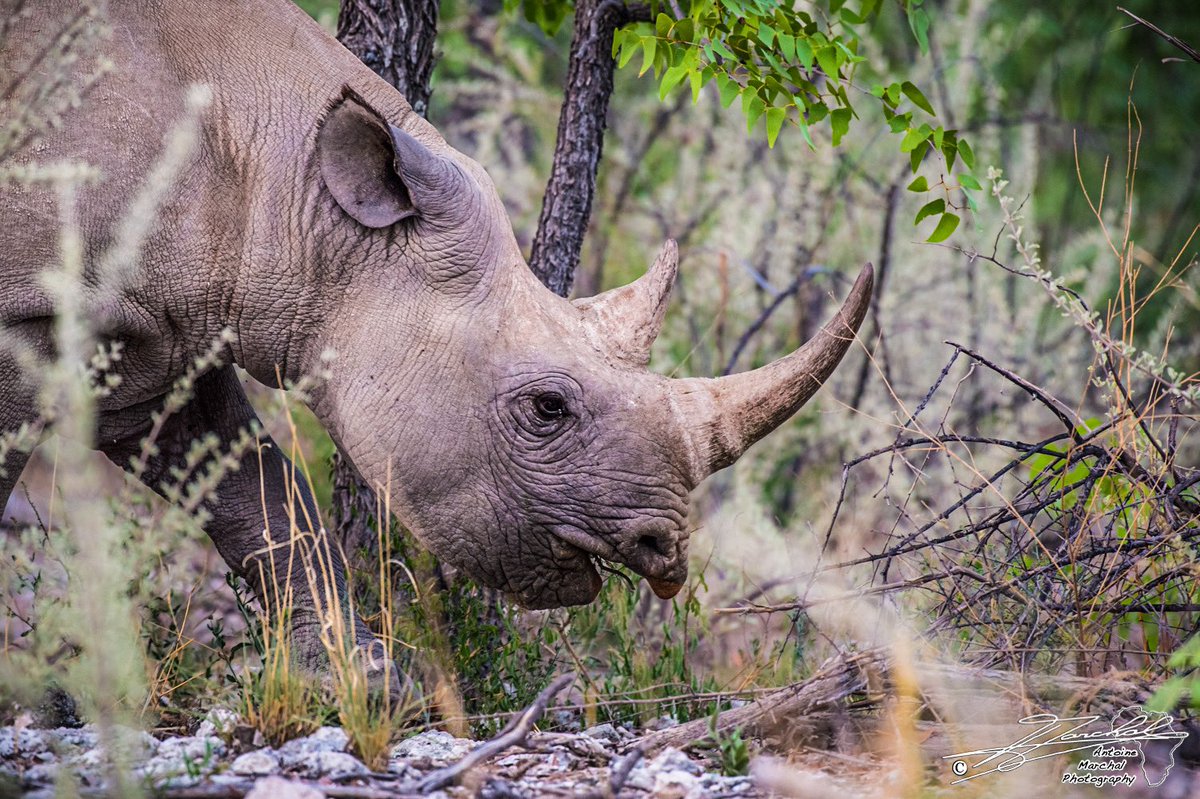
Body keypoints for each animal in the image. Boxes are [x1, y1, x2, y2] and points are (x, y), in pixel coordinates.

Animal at [0, 0, 872, 686]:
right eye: (546, 408)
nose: (666, 551)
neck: (291, 187)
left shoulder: (153, 335)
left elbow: (260, 491)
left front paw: (366, 685)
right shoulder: (39, 315)